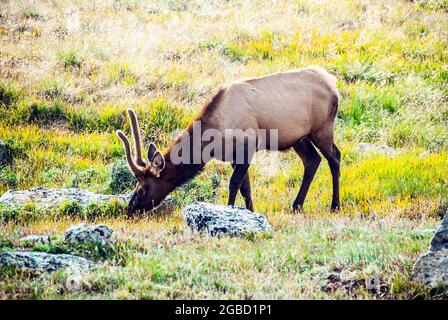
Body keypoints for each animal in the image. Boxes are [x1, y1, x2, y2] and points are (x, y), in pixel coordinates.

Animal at [115, 67, 340, 218]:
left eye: (141, 189)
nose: (130, 210)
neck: (211, 142)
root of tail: (333, 84)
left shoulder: (248, 145)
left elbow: (233, 184)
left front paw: (230, 211)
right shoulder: (233, 155)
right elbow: (245, 187)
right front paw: (252, 213)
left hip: (322, 128)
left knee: (334, 157)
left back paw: (334, 206)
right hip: (299, 138)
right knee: (312, 161)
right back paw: (296, 205)